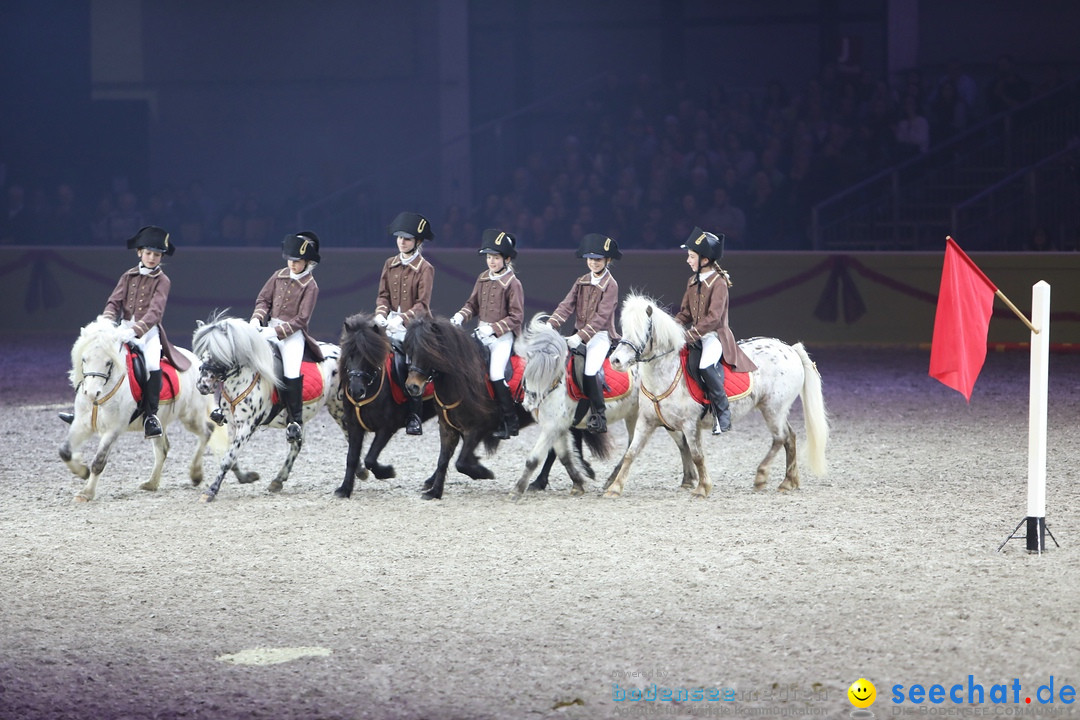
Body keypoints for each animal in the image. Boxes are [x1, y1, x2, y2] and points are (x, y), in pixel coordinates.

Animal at [59, 317, 221, 505]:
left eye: (109, 362)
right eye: (84, 359)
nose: (92, 393)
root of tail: (197, 362)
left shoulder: (113, 430)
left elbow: (98, 461)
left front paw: (86, 493)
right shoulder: (81, 424)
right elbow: (65, 451)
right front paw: (82, 471)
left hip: (191, 416)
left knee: (207, 431)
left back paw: (195, 475)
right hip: (161, 421)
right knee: (163, 448)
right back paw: (151, 483)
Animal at [192, 313, 345, 505]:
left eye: (219, 353)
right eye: (201, 355)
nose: (202, 385)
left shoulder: (247, 426)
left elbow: (228, 458)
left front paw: (211, 491)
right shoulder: (233, 424)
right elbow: (231, 456)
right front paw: (247, 477)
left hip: (339, 409)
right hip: (304, 417)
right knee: (298, 443)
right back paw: (278, 480)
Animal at [511, 317, 699, 498]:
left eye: (544, 374)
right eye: (526, 373)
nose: (528, 404)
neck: (559, 383)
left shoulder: (552, 426)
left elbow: (534, 459)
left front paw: (518, 489)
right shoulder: (556, 426)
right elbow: (564, 457)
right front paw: (578, 483)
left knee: (675, 441)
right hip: (638, 416)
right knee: (643, 444)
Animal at [609, 295, 825, 498]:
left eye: (642, 332)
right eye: (625, 330)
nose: (615, 360)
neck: (665, 373)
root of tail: (791, 349)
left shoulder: (689, 424)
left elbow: (697, 456)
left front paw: (702, 488)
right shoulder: (646, 421)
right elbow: (630, 453)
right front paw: (614, 488)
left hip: (773, 408)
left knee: (780, 437)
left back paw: (762, 476)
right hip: (777, 410)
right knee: (790, 436)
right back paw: (788, 481)